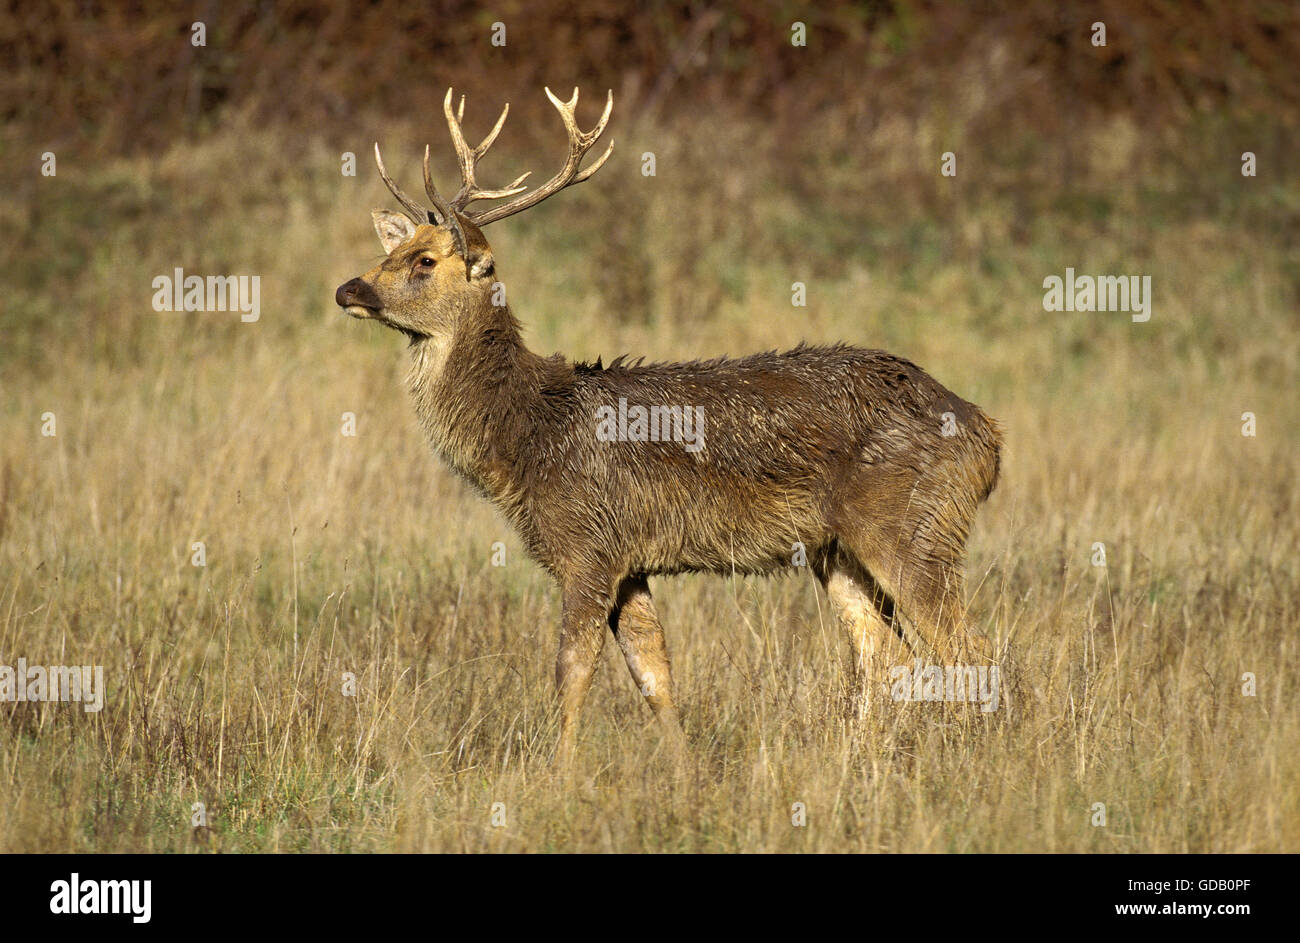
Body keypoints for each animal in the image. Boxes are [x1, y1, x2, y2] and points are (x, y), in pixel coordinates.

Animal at [338, 86, 1003, 764]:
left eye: (424, 260)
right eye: (388, 252)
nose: (349, 289)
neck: (529, 437)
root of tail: (987, 438)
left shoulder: (587, 546)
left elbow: (572, 674)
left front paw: (555, 775)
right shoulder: (629, 560)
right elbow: (654, 676)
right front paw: (685, 774)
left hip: (911, 526)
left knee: (971, 649)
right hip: (838, 550)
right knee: (884, 652)